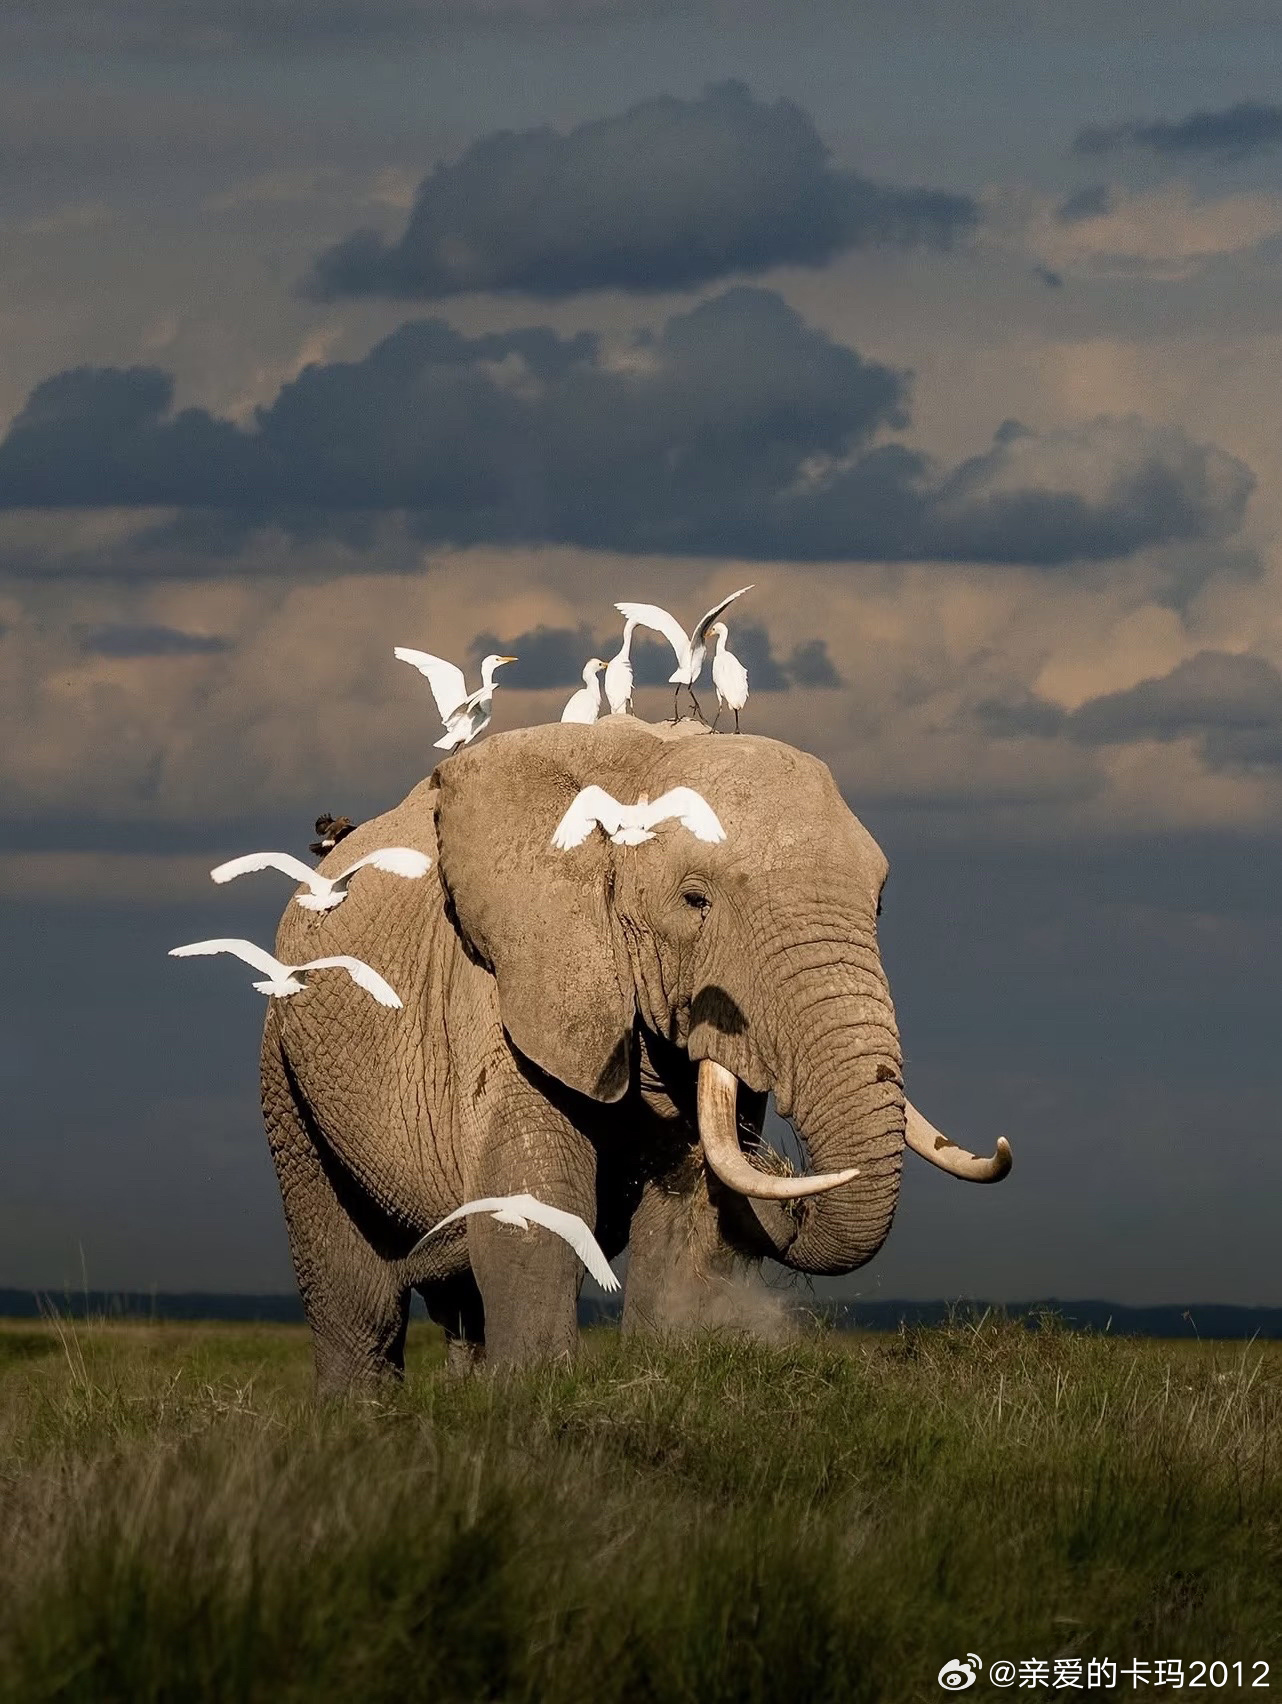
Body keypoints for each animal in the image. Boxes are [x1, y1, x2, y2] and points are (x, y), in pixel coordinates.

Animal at [260, 715, 1010, 1395]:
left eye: (878, 904)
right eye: (694, 900)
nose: (776, 1159)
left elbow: (685, 1214)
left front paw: (660, 1373)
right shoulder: (508, 980)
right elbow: (536, 1203)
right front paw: (533, 1398)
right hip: (286, 1066)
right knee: (354, 1291)